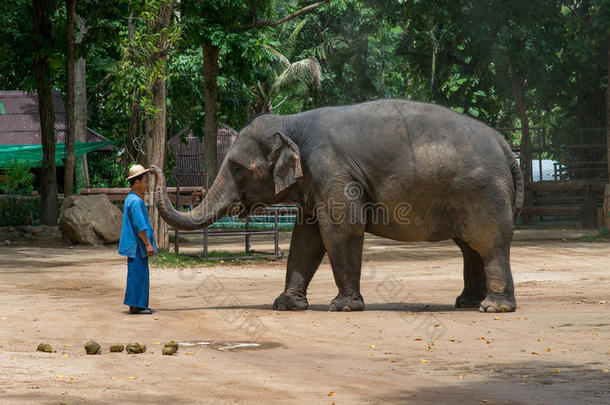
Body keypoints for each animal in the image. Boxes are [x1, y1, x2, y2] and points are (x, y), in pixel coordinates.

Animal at [150, 98, 520, 312]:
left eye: (238, 167)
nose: (151, 169)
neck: (292, 122)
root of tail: (505, 145)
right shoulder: (314, 180)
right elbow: (305, 238)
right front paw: (284, 305)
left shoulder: (331, 169)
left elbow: (340, 229)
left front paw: (342, 307)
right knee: (470, 247)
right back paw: (467, 303)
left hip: (482, 193)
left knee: (489, 243)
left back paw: (494, 308)